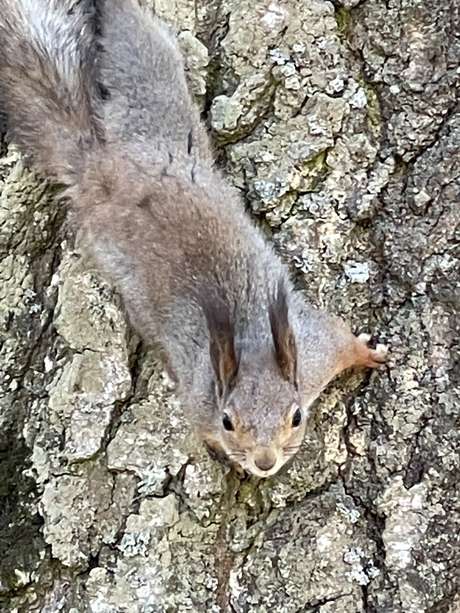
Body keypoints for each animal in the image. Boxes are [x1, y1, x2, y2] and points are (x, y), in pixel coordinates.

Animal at [0, 0, 387, 478]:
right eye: (228, 421)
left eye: (296, 416)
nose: (264, 462)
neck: (251, 344)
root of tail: (99, 169)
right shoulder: (200, 402)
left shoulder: (315, 350)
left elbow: (340, 337)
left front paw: (370, 352)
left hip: (156, 104)